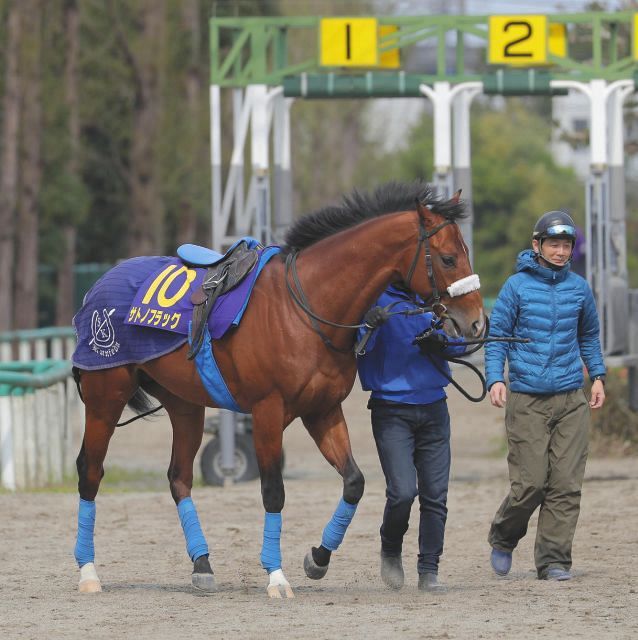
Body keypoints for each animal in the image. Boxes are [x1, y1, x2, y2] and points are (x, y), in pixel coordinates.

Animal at [71, 180, 485, 598]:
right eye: (449, 258)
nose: (477, 323)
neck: (304, 308)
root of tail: (96, 289)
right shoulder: (267, 411)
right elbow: (273, 490)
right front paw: (276, 576)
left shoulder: (323, 410)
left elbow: (354, 482)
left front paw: (317, 559)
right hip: (106, 396)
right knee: (91, 470)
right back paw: (88, 572)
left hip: (184, 404)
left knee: (179, 478)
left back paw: (202, 565)